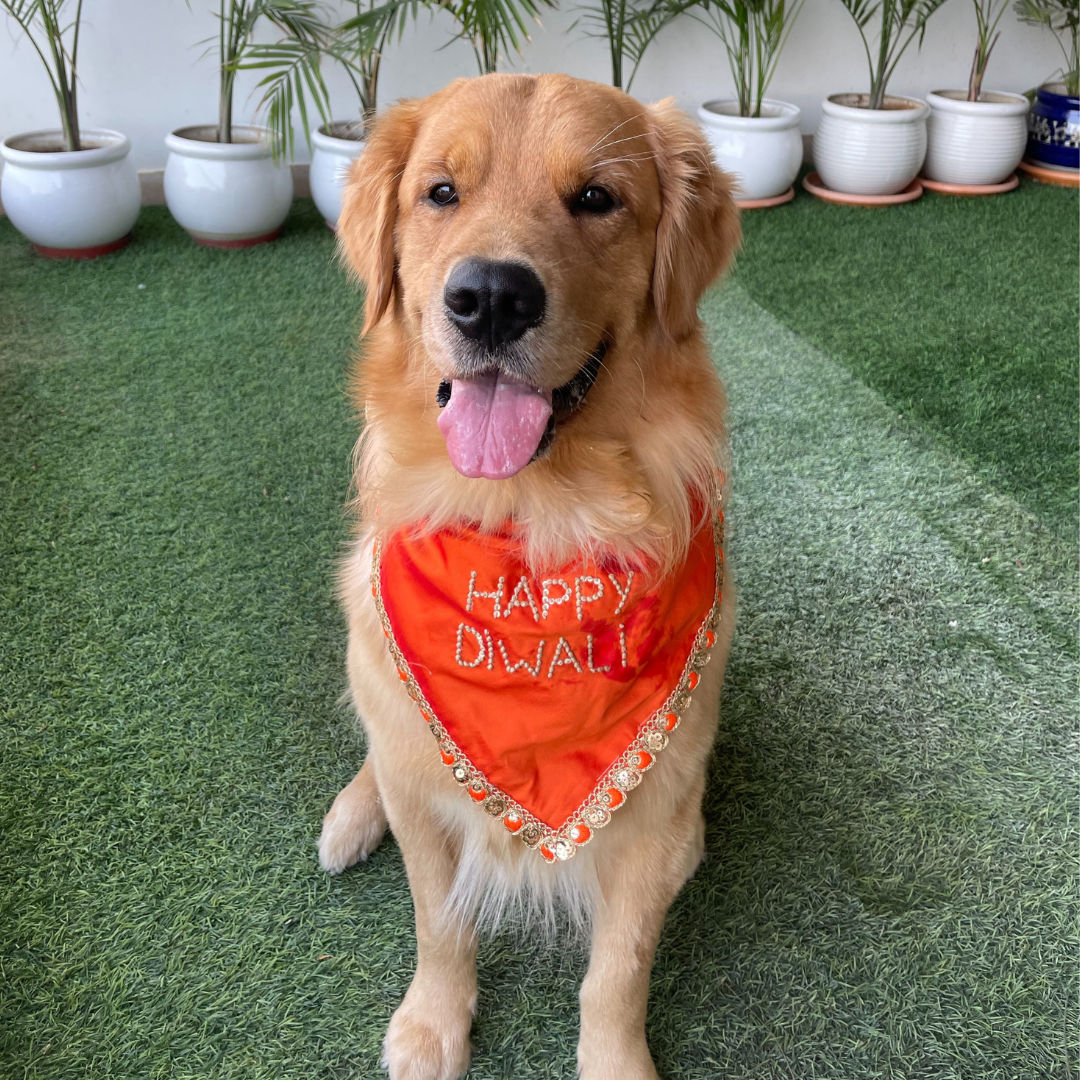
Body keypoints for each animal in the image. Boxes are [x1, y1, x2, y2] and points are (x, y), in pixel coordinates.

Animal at [319, 73, 738, 1080]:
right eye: (440, 192)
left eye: (595, 197)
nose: (491, 298)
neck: (533, 533)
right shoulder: (431, 802)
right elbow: (441, 923)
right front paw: (433, 1025)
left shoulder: (656, 820)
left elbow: (617, 974)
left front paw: (615, 1063)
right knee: (380, 753)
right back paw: (351, 817)